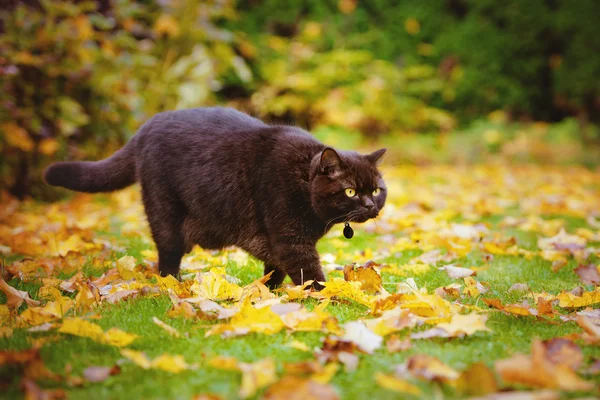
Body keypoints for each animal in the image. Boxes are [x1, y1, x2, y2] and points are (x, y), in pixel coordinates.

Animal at [44, 106, 386, 288]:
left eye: (376, 190)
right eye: (351, 191)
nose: (370, 204)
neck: (303, 182)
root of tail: (149, 124)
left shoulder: (277, 243)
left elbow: (273, 271)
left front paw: (266, 294)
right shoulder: (292, 241)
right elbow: (310, 275)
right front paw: (329, 300)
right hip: (165, 214)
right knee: (167, 256)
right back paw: (172, 286)